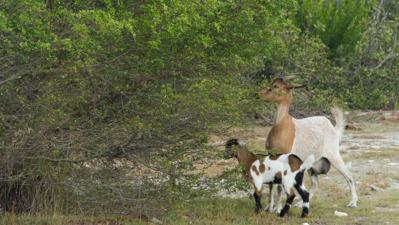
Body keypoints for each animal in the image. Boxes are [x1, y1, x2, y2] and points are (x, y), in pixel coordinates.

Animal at [260, 78, 360, 208]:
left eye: (276, 86)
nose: (260, 94)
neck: (281, 125)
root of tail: (334, 129)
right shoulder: (271, 156)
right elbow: (272, 184)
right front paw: (269, 207)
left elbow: (279, 186)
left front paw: (278, 208)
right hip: (311, 164)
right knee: (315, 182)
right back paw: (301, 203)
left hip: (333, 155)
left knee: (349, 176)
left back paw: (353, 202)